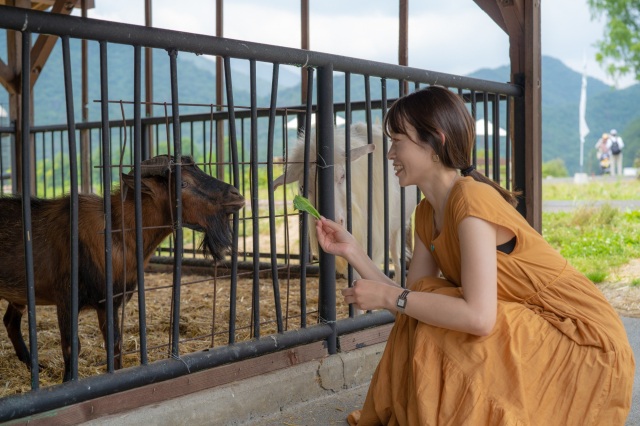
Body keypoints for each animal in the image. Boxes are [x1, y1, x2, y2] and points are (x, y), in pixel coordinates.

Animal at [0, 155, 245, 382]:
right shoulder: (66, 300)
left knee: (11, 322)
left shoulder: (110, 302)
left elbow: (114, 343)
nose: (237, 195)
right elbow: (71, 346)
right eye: (183, 183)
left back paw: (34, 366)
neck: (116, 233)